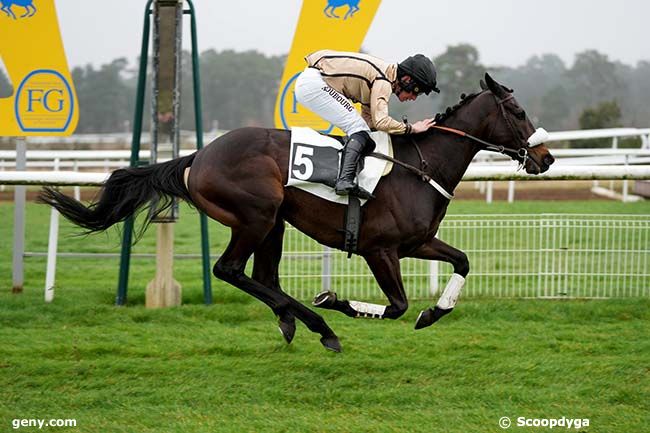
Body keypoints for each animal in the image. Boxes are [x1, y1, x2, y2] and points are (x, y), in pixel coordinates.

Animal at [39, 73, 552, 352]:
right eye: (518, 112)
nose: (545, 158)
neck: (419, 166)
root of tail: (198, 156)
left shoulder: (417, 242)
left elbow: (462, 261)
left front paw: (435, 312)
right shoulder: (380, 250)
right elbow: (396, 306)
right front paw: (335, 301)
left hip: (274, 223)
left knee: (263, 277)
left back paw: (293, 320)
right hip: (256, 215)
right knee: (230, 270)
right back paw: (319, 323)